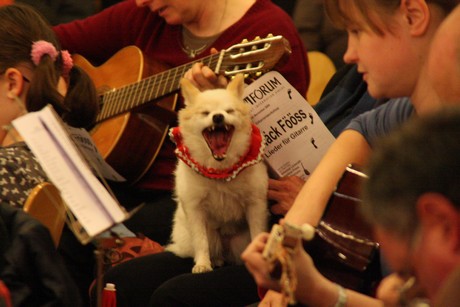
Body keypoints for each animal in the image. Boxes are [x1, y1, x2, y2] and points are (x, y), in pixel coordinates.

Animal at [167, 74, 270, 274]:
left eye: (229, 111)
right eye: (205, 113)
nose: (218, 116)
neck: (220, 170)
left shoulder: (255, 205)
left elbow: (257, 232)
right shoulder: (195, 209)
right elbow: (200, 241)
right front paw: (202, 264)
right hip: (204, 238)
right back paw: (214, 260)